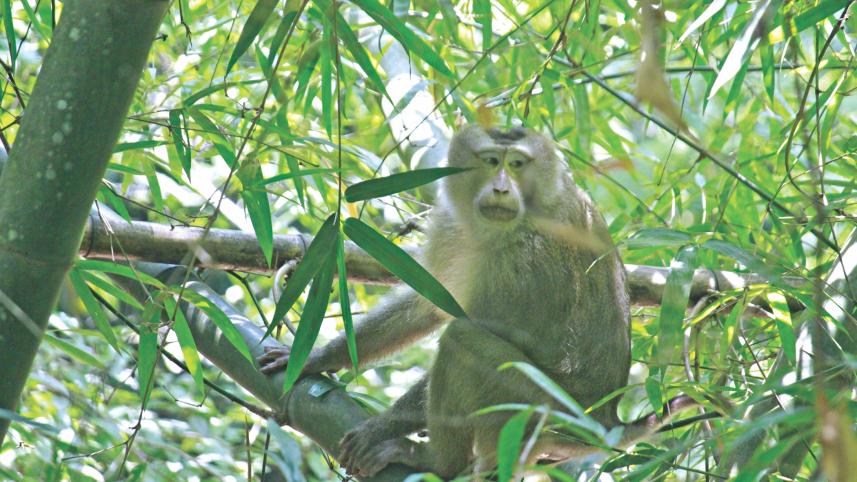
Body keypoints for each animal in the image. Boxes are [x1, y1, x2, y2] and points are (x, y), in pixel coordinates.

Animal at [258, 125, 695, 479]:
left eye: (517, 164)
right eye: (490, 161)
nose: (501, 187)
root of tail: (605, 423)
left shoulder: (522, 260)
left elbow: (471, 324)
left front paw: (381, 427)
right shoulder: (452, 224)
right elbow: (426, 305)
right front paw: (314, 358)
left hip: (537, 410)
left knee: (462, 340)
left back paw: (438, 463)